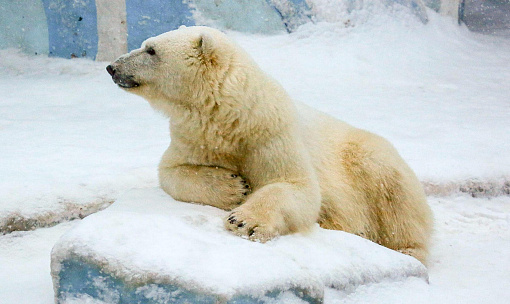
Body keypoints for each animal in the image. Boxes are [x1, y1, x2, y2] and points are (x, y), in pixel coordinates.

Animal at [105, 25, 432, 264]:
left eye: (151, 49)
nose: (112, 67)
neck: (230, 117)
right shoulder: (194, 136)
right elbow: (171, 171)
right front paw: (234, 187)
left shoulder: (271, 132)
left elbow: (296, 186)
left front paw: (244, 221)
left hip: (367, 158)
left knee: (395, 196)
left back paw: (407, 251)